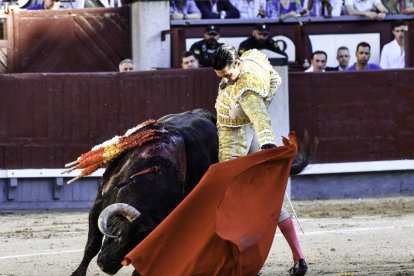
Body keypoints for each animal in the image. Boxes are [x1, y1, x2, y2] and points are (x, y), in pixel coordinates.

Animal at [71, 109, 312, 274]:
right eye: (118, 233)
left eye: (137, 244)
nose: (106, 266)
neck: (152, 168)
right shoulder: (98, 205)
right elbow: (91, 245)